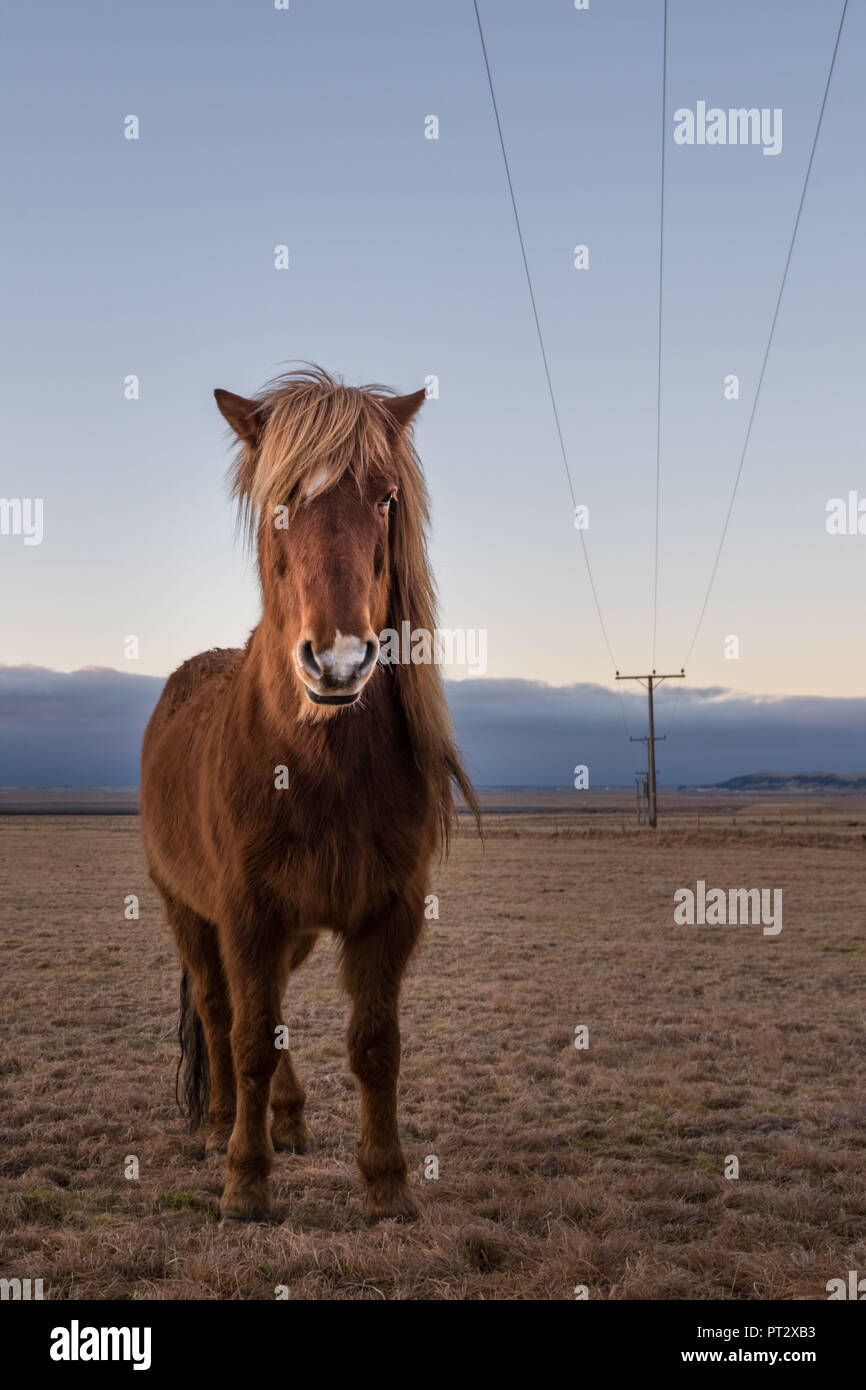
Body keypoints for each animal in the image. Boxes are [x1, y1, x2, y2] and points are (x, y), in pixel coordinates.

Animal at [143, 366, 480, 1217]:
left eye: (387, 498)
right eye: (278, 501)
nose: (338, 662)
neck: (320, 765)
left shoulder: (389, 911)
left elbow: (375, 1045)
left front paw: (387, 1184)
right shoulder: (245, 912)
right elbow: (249, 1039)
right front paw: (245, 1180)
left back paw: (287, 1119)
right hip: (188, 910)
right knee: (219, 1007)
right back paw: (221, 1126)